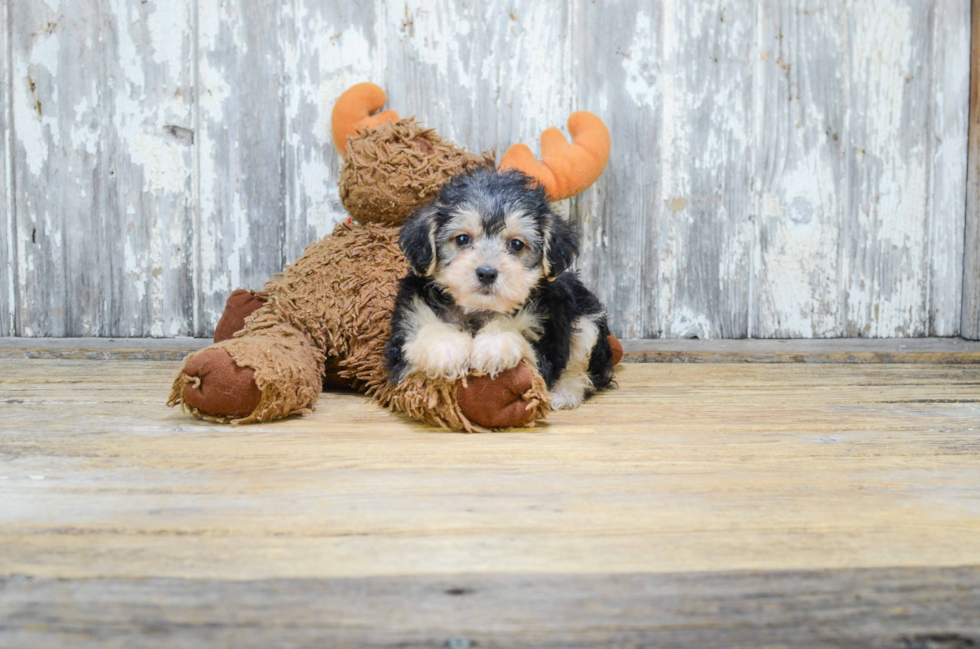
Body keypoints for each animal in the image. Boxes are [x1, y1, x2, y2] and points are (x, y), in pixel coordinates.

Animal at [386, 168, 616, 410]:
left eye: (516, 244)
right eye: (462, 239)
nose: (487, 273)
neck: (477, 309)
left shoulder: (544, 342)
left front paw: (495, 344)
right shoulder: (409, 323)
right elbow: (426, 334)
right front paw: (447, 348)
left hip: (588, 319)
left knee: (581, 367)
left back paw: (564, 393)